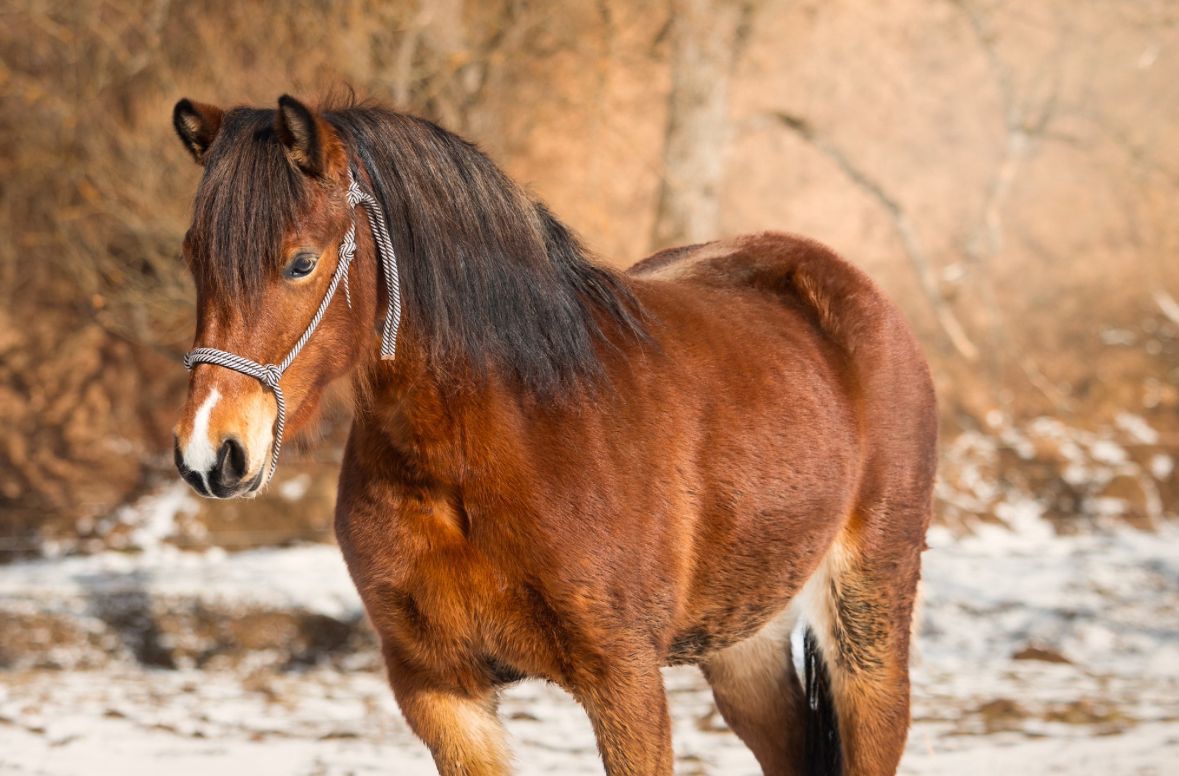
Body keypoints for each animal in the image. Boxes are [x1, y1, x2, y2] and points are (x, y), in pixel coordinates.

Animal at [170, 94, 936, 776]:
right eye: (194, 257)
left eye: (301, 261)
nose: (211, 454)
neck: (491, 447)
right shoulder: (439, 691)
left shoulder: (625, 682)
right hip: (742, 642)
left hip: (867, 631)